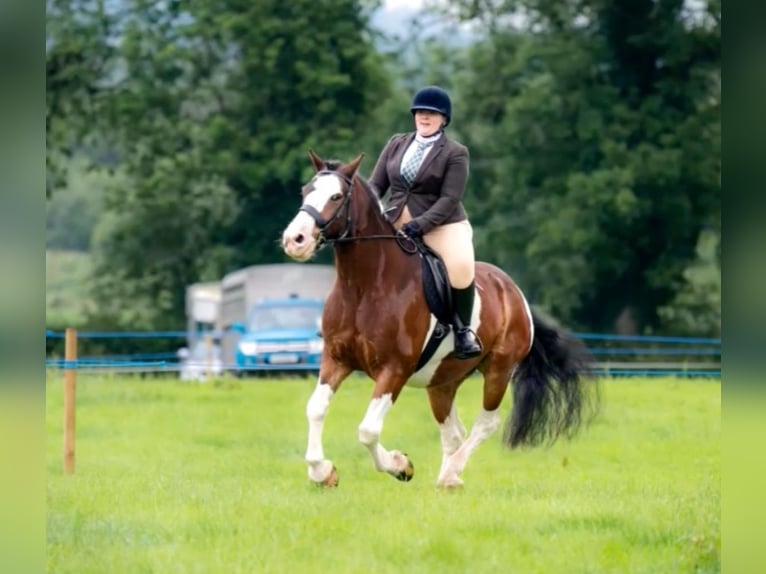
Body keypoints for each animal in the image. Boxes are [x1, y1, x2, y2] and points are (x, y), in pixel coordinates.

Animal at [281, 151, 597, 488]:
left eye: (337, 196)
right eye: (305, 191)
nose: (295, 240)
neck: (363, 288)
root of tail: (513, 290)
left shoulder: (394, 369)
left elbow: (367, 430)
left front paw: (400, 465)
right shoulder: (336, 359)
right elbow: (315, 409)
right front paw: (322, 471)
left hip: (499, 369)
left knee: (486, 423)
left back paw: (451, 474)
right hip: (442, 380)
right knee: (453, 431)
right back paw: (447, 478)